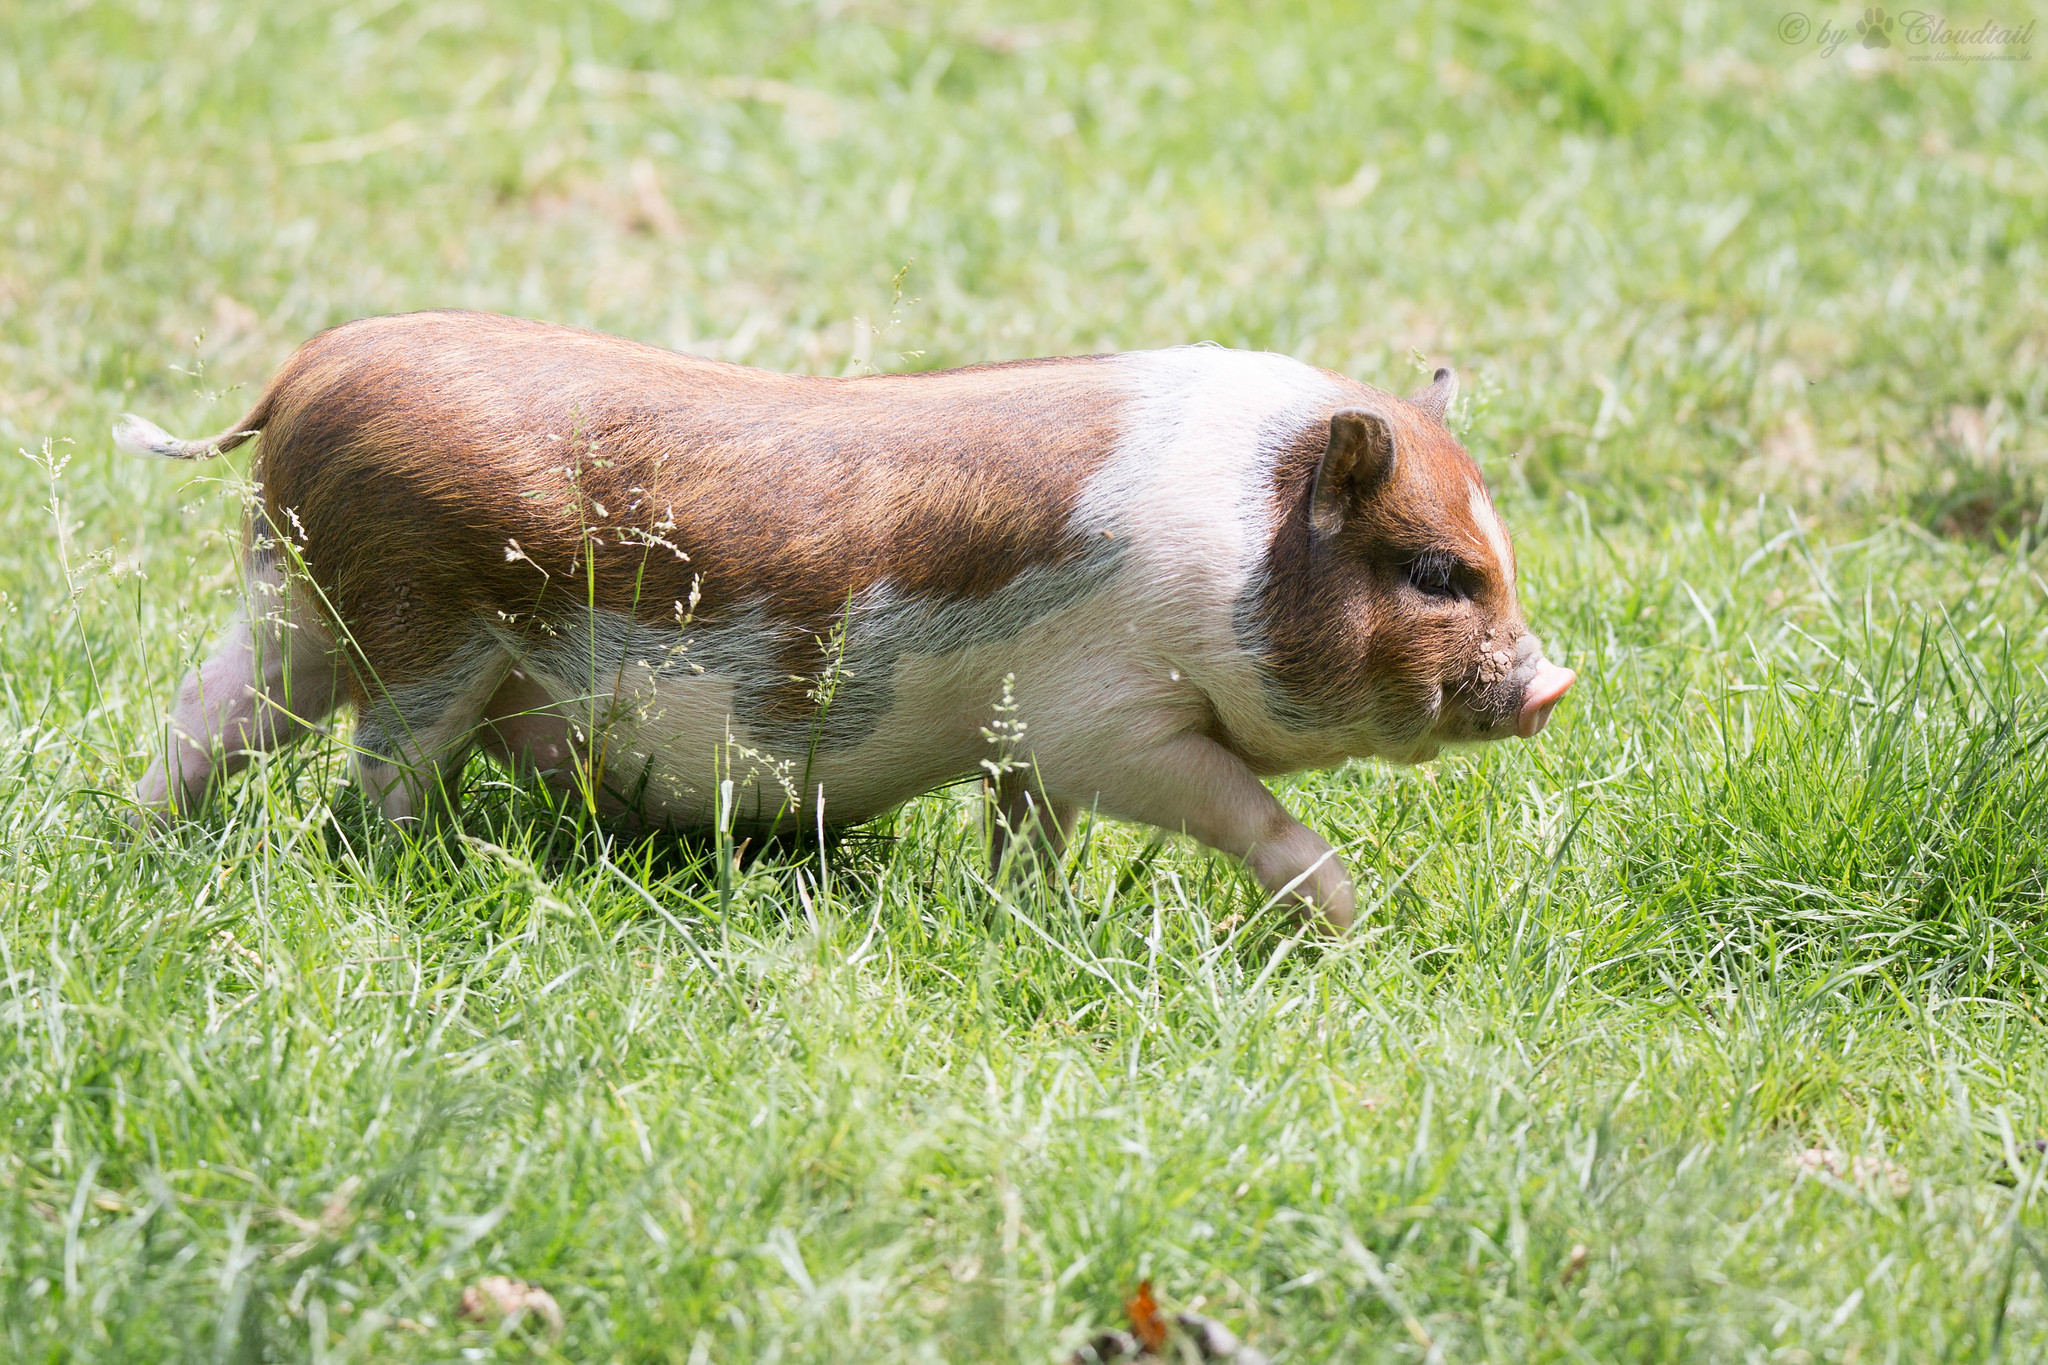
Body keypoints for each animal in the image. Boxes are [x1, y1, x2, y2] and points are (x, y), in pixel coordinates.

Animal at [119, 309, 1572, 929]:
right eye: (1434, 571)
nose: (1554, 686)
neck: (1230, 557)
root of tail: (308, 372)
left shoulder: (1030, 744)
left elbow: (1030, 836)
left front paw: (1031, 918)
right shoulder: (1111, 719)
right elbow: (1240, 809)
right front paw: (1345, 917)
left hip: (297, 597)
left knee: (208, 713)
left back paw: (143, 837)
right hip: (426, 626)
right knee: (375, 776)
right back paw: (433, 870)